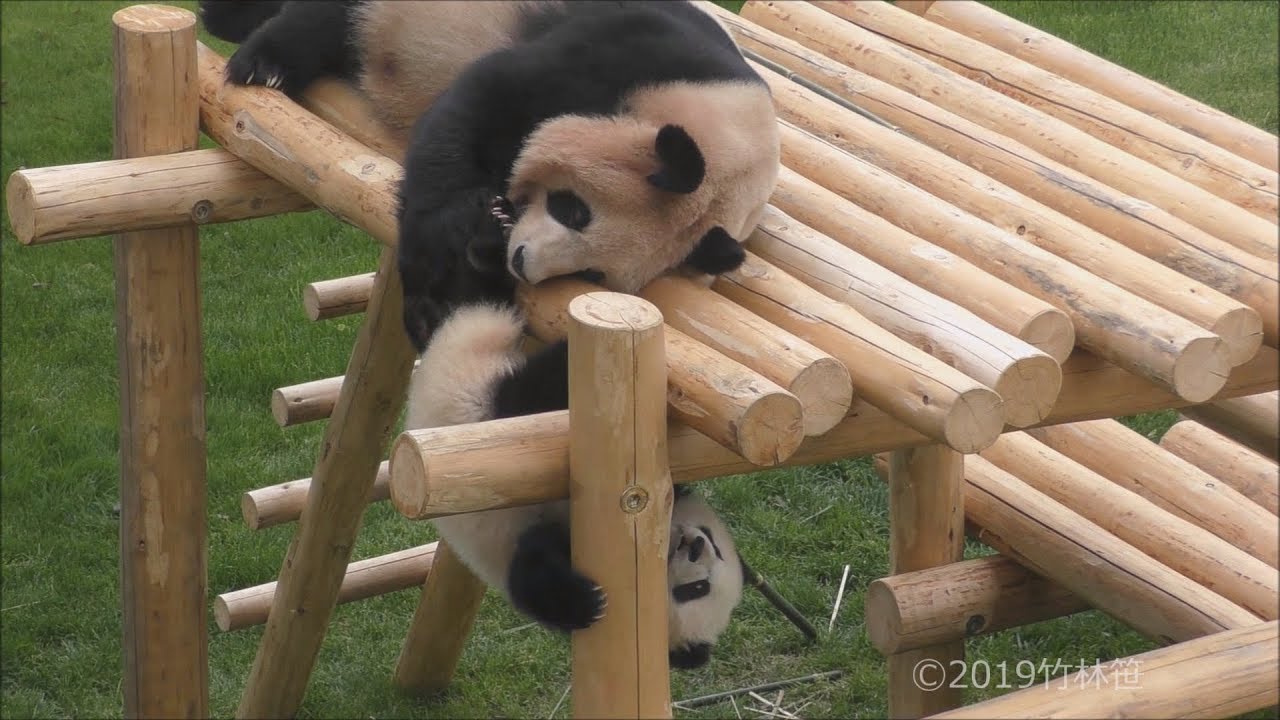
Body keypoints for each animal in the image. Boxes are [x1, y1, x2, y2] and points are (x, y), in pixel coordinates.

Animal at [402, 302, 746, 669]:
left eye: (696, 588)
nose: (693, 543)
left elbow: (531, 574)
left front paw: (584, 604)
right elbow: (539, 574)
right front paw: (589, 603)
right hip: (491, 398)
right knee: (539, 385)